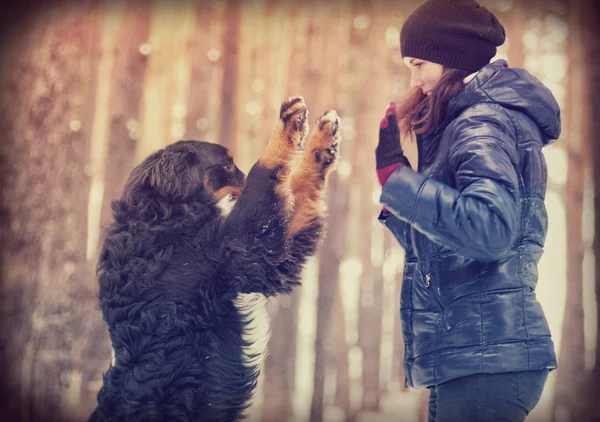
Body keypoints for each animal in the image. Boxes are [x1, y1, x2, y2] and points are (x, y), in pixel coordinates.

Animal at [89, 97, 342, 420]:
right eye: (228, 164)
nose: (240, 180)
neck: (163, 218)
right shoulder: (242, 246)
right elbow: (266, 172)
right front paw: (289, 122)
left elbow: (300, 184)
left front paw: (324, 140)